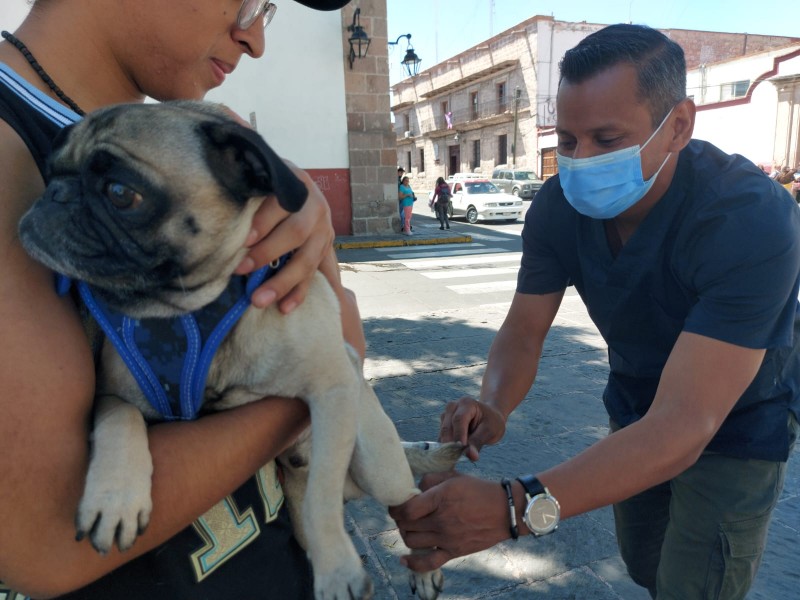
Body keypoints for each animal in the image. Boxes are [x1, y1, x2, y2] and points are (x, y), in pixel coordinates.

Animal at [18, 103, 462, 600]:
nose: (55, 193)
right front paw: (115, 495)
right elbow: (120, 417)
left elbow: (323, 498)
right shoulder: (114, 395)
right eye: (51, 170)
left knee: (408, 504)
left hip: (379, 464)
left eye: (120, 193)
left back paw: (421, 568)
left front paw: (337, 566)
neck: (186, 311)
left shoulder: (333, 389)